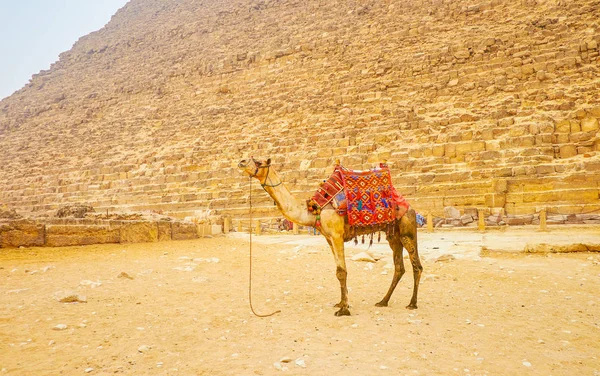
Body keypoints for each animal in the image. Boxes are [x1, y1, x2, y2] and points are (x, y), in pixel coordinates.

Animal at [237, 157, 424, 316]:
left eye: (259, 162)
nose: (242, 161)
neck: (314, 210)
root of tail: (410, 206)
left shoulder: (336, 235)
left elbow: (342, 271)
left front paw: (344, 310)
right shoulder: (328, 239)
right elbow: (338, 271)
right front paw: (341, 303)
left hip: (406, 229)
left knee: (417, 266)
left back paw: (412, 303)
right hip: (393, 235)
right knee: (399, 267)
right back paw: (383, 301)